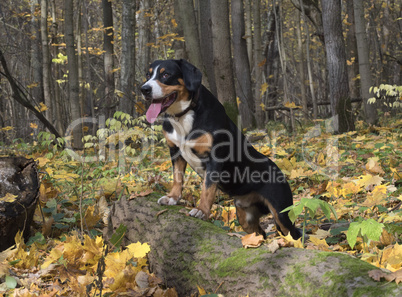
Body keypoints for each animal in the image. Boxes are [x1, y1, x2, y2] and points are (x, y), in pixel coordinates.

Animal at [140, 59, 300, 238]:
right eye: (148, 74)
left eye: (166, 74)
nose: (144, 89)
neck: (184, 115)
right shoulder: (175, 151)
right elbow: (177, 177)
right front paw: (172, 198)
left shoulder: (215, 157)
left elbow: (208, 188)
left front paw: (201, 211)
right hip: (245, 216)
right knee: (259, 235)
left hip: (282, 213)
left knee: (294, 234)